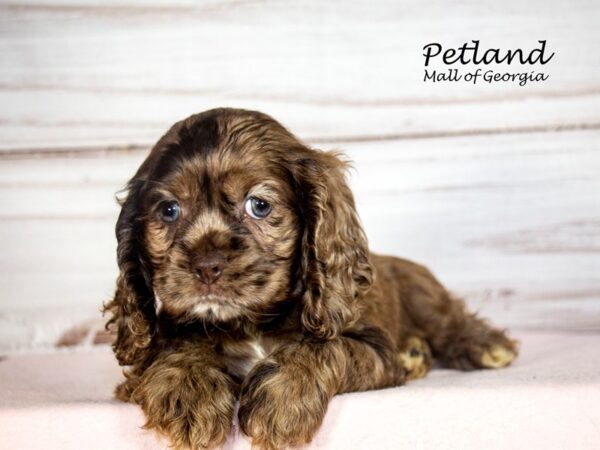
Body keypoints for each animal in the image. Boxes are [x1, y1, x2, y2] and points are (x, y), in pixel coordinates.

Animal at [103, 109, 516, 450]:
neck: (251, 322)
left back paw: (484, 345)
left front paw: (283, 397)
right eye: (169, 210)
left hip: (422, 294)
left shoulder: (376, 351)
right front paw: (188, 388)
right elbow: (176, 342)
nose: (207, 266)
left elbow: (325, 346)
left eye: (259, 205)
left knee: (449, 320)